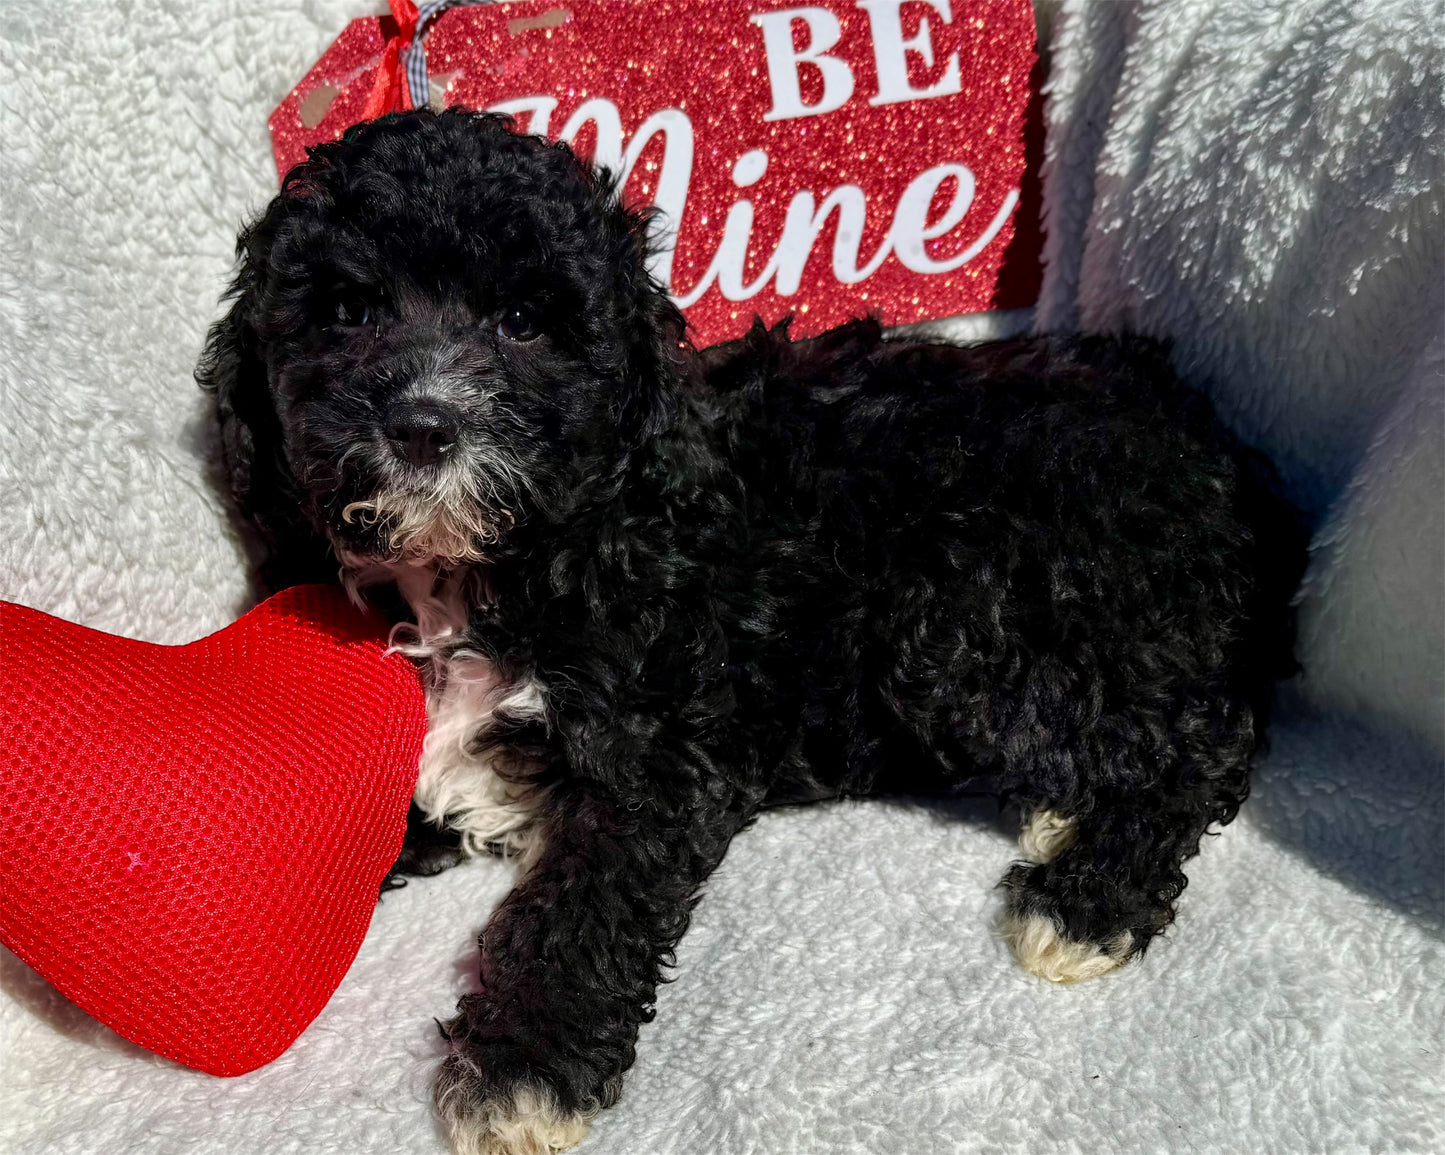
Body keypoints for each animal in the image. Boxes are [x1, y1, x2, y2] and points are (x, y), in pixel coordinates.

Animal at [200, 110, 1300, 1155]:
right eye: (347, 310)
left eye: (522, 321)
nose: (424, 425)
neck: (490, 567)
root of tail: (1219, 456)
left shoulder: (659, 757)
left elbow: (587, 904)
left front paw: (523, 1067)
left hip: (977, 611)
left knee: (1197, 744)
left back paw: (1084, 901)